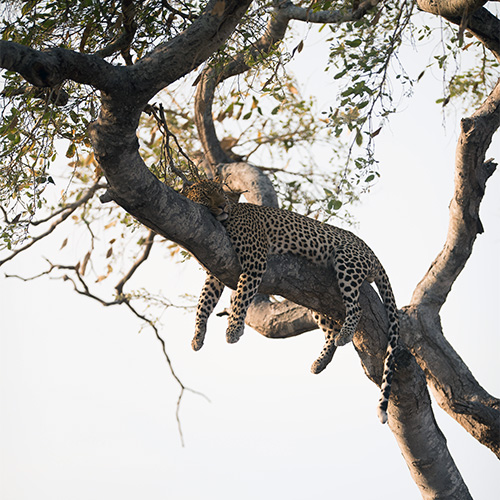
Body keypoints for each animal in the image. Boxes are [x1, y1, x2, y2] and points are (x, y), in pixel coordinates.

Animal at [184, 180, 398, 422]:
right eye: (205, 194)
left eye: (220, 192)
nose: (222, 206)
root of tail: (372, 252)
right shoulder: (216, 270)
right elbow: (204, 302)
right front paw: (197, 336)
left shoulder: (255, 261)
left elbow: (241, 297)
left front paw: (233, 330)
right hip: (314, 298)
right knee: (330, 330)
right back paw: (320, 362)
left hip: (347, 261)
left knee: (357, 307)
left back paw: (344, 335)